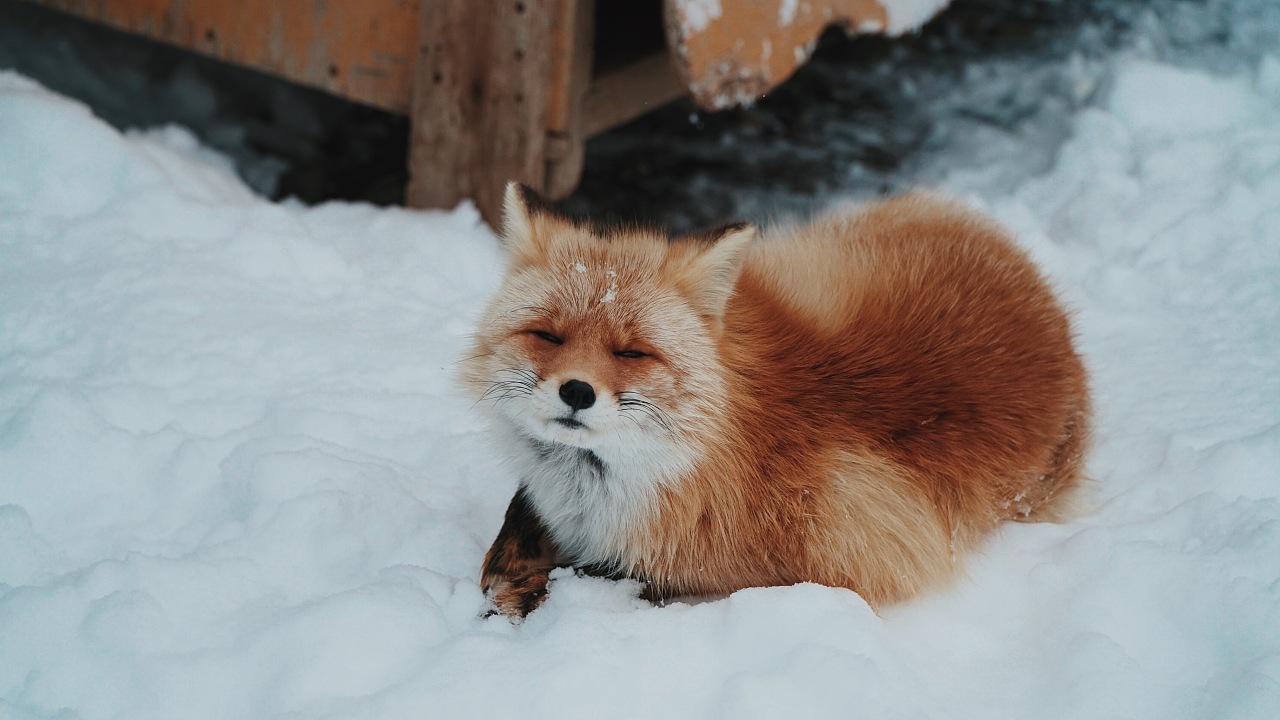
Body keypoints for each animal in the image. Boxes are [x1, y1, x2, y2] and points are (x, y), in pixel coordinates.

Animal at [463, 181, 1090, 614]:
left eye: (632, 352)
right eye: (548, 335)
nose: (576, 391)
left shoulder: (843, 553)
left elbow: (635, 578)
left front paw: (532, 592)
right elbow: (519, 519)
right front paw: (514, 560)